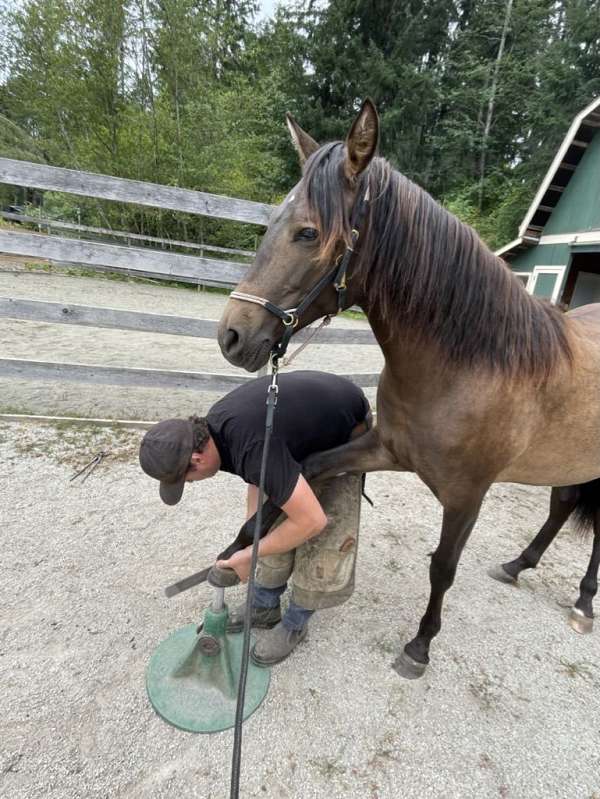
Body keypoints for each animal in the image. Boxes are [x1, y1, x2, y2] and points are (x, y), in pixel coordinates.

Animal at [216, 97, 600, 680]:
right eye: (270, 225)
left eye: (307, 233)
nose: (231, 336)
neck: (468, 366)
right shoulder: (387, 449)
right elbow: (305, 470)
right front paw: (237, 552)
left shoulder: (467, 496)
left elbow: (443, 567)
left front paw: (420, 645)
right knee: (561, 509)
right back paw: (519, 566)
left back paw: (583, 601)